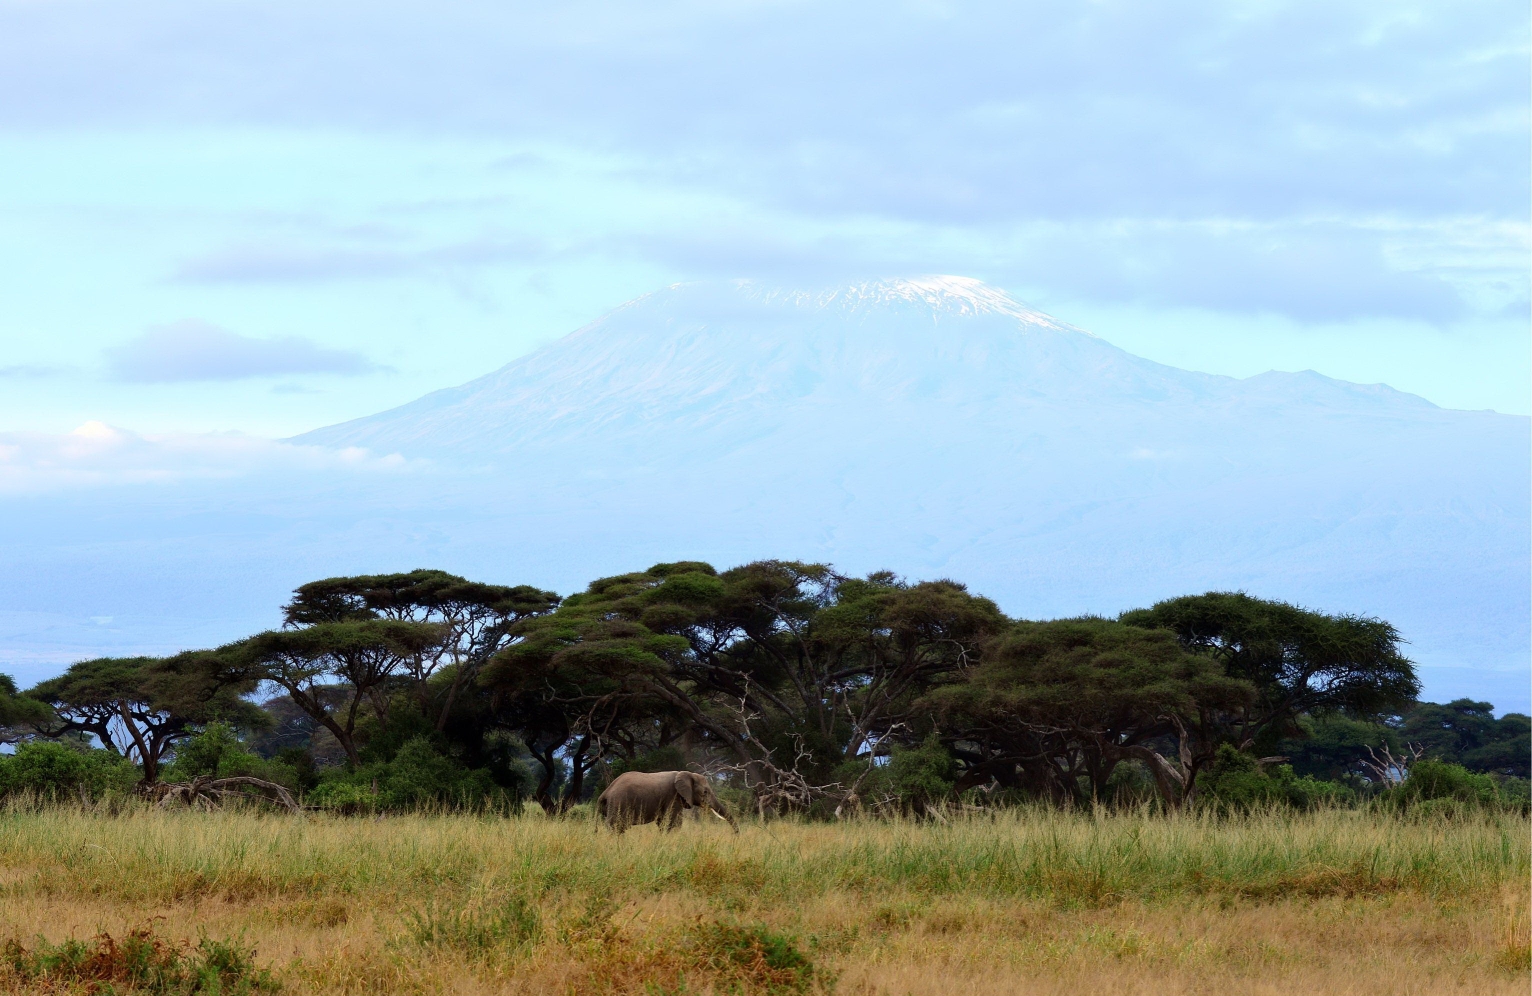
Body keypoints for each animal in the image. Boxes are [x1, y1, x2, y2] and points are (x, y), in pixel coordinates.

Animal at [594, 769, 738, 827]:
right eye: (705, 792)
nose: (735, 836)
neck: (686, 773)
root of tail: (605, 792)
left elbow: (663, 822)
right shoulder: (673, 796)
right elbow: (672, 823)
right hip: (619, 802)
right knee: (617, 827)